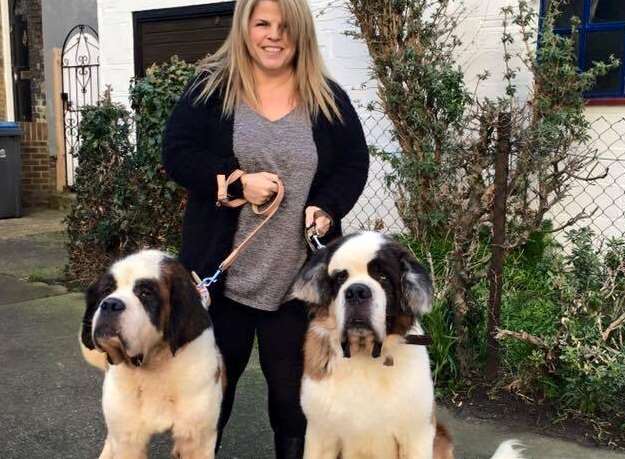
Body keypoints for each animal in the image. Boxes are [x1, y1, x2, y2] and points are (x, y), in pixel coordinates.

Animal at [79, 252, 223, 459]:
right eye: (107, 290)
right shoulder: (128, 437)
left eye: (145, 293)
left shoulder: (197, 438)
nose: (110, 304)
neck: (155, 366)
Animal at [290, 234, 524, 459]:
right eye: (340, 278)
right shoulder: (321, 435)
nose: (356, 291)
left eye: (383, 277)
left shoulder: (417, 435)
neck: (365, 354)